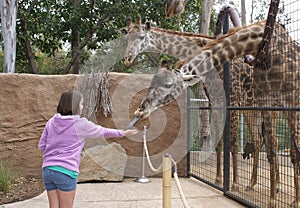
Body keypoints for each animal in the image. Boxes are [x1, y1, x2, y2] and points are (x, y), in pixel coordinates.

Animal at [135, 20, 298, 207]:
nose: (141, 108)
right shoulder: (216, 103)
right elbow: (220, 141)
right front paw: (219, 178)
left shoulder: (232, 100)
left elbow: (232, 142)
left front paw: (234, 184)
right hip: (252, 108)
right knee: (261, 139)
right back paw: (256, 184)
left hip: (272, 107)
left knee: (277, 143)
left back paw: (287, 195)